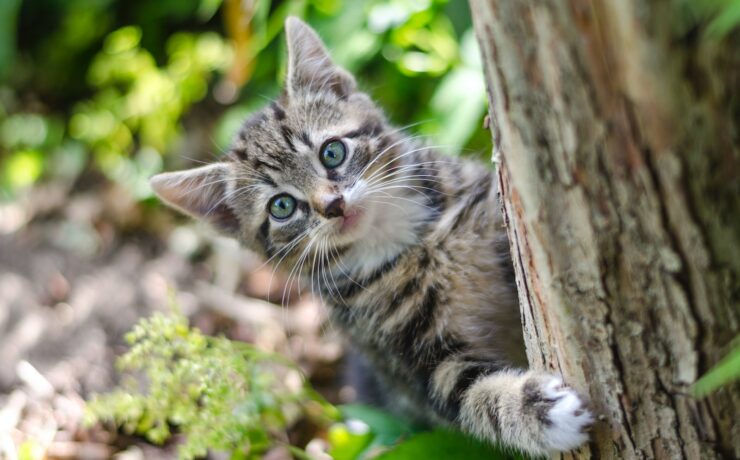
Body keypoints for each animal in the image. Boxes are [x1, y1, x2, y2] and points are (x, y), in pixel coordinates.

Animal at [152, 16, 596, 454]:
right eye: (282, 206)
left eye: (332, 152)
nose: (333, 205)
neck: (406, 243)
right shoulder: (409, 362)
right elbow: (470, 397)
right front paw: (537, 410)